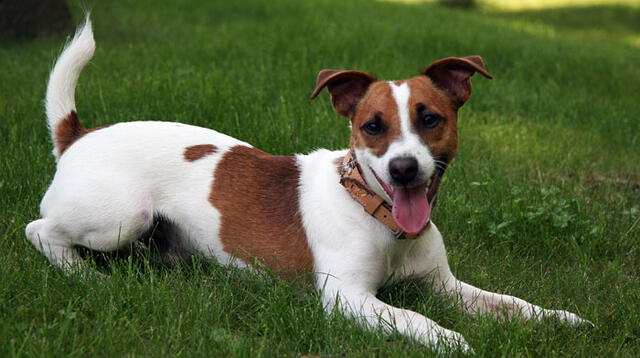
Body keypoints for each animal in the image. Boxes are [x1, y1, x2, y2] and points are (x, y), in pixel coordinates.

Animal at [26, 18, 596, 352]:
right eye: (372, 126)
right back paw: (87, 276)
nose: (403, 169)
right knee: (40, 230)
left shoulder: (445, 286)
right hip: (122, 218)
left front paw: (562, 319)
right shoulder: (350, 299)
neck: (375, 212)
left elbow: (513, 304)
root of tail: (78, 135)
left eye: (430, 118)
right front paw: (452, 340)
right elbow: (416, 319)